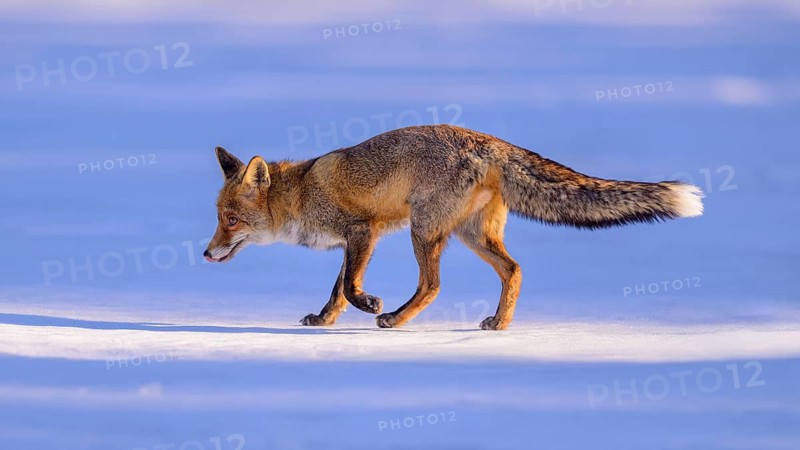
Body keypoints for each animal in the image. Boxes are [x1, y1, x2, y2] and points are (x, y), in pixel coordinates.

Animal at [204, 124, 703, 330]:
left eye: (231, 220)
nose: (206, 254)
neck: (301, 194)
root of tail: (490, 141)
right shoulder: (356, 240)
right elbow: (336, 291)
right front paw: (324, 321)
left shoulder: (361, 230)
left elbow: (348, 287)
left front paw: (369, 304)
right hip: (470, 236)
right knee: (514, 270)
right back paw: (500, 324)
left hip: (423, 232)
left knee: (433, 286)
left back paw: (394, 318)